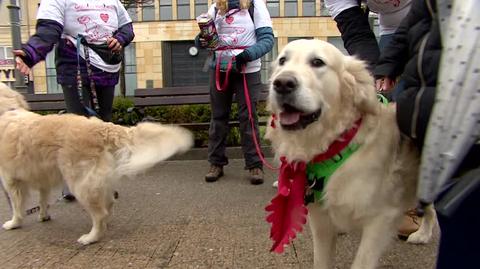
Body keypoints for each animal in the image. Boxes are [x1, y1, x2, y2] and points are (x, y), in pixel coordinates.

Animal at [0, 82, 195, 244]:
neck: (8, 110)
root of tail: (102, 127)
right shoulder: (41, 177)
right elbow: (42, 199)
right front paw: (43, 215)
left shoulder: (10, 179)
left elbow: (16, 205)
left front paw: (14, 222)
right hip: (98, 181)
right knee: (108, 206)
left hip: (80, 184)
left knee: (100, 214)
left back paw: (90, 237)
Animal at [264, 39, 436, 268]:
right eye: (282, 61)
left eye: (317, 62)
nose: (282, 83)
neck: (338, 146)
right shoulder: (321, 221)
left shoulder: (380, 220)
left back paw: (423, 233)